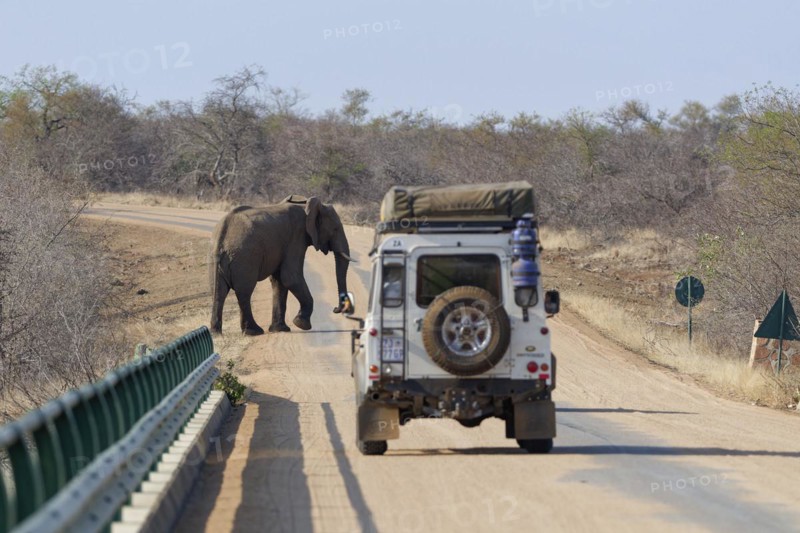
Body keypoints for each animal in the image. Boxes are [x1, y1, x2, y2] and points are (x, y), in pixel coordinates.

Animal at [209, 195, 354, 335]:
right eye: (335, 229)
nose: (335, 309)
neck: (306, 205)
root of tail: (222, 235)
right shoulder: (297, 237)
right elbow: (290, 277)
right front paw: (301, 324)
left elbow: (279, 281)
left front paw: (280, 329)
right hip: (245, 257)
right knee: (244, 292)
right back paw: (254, 331)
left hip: (216, 258)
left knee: (219, 292)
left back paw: (216, 333)